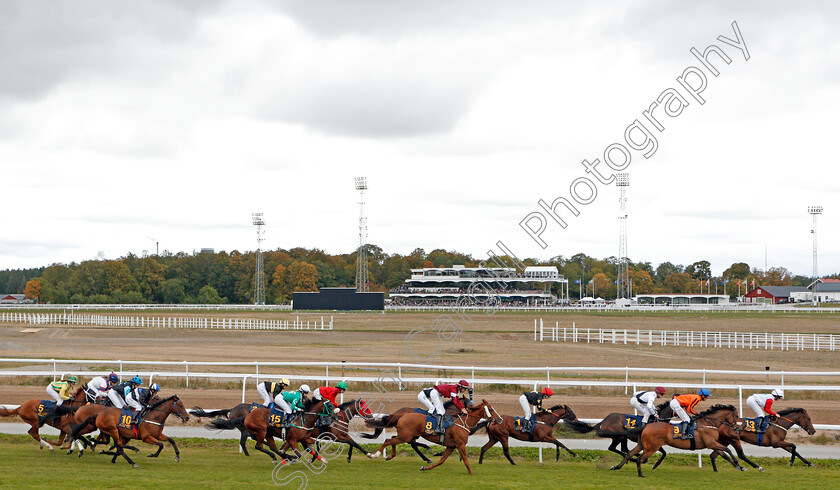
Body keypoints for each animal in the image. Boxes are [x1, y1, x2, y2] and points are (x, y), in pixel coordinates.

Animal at [370, 398, 502, 474]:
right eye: (491, 409)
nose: (500, 419)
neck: (462, 422)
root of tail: (402, 415)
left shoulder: (451, 446)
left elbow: (441, 461)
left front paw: (425, 468)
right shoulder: (460, 444)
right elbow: (465, 459)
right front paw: (471, 473)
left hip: (404, 435)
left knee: (392, 439)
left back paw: (390, 456)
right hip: (405, 436)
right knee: (388, 441)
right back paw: (374, 455)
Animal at [612, 404, 740, 476]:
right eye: (737, 416)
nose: (737, 428)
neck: (708, 423)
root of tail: (647, 426)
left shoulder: (713, 444)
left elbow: (724, 454)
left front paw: (739, 466)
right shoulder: (711, 443)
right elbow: (728, 451)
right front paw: (738, 463)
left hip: (642, 445)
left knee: (629, 453)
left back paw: (616, 467)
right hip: (651, 448)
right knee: (639, 459)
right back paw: (640, 474)